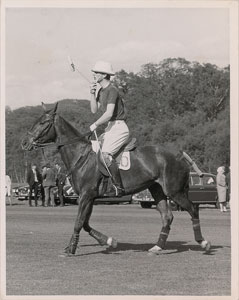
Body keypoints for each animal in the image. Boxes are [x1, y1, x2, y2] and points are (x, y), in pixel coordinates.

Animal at [21, 102, 211, 255]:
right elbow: (85, 223)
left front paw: (71, 249)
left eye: (43, 123)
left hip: (174, 191)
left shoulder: (85, 195)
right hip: (157, 189)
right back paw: (157, 247)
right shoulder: (90, 197)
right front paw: (109, 241)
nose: (24, 143)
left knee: (193, 209)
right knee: (167, 216)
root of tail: (180, 154)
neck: (79, 155)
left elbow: (79, 222)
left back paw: (204, 243)